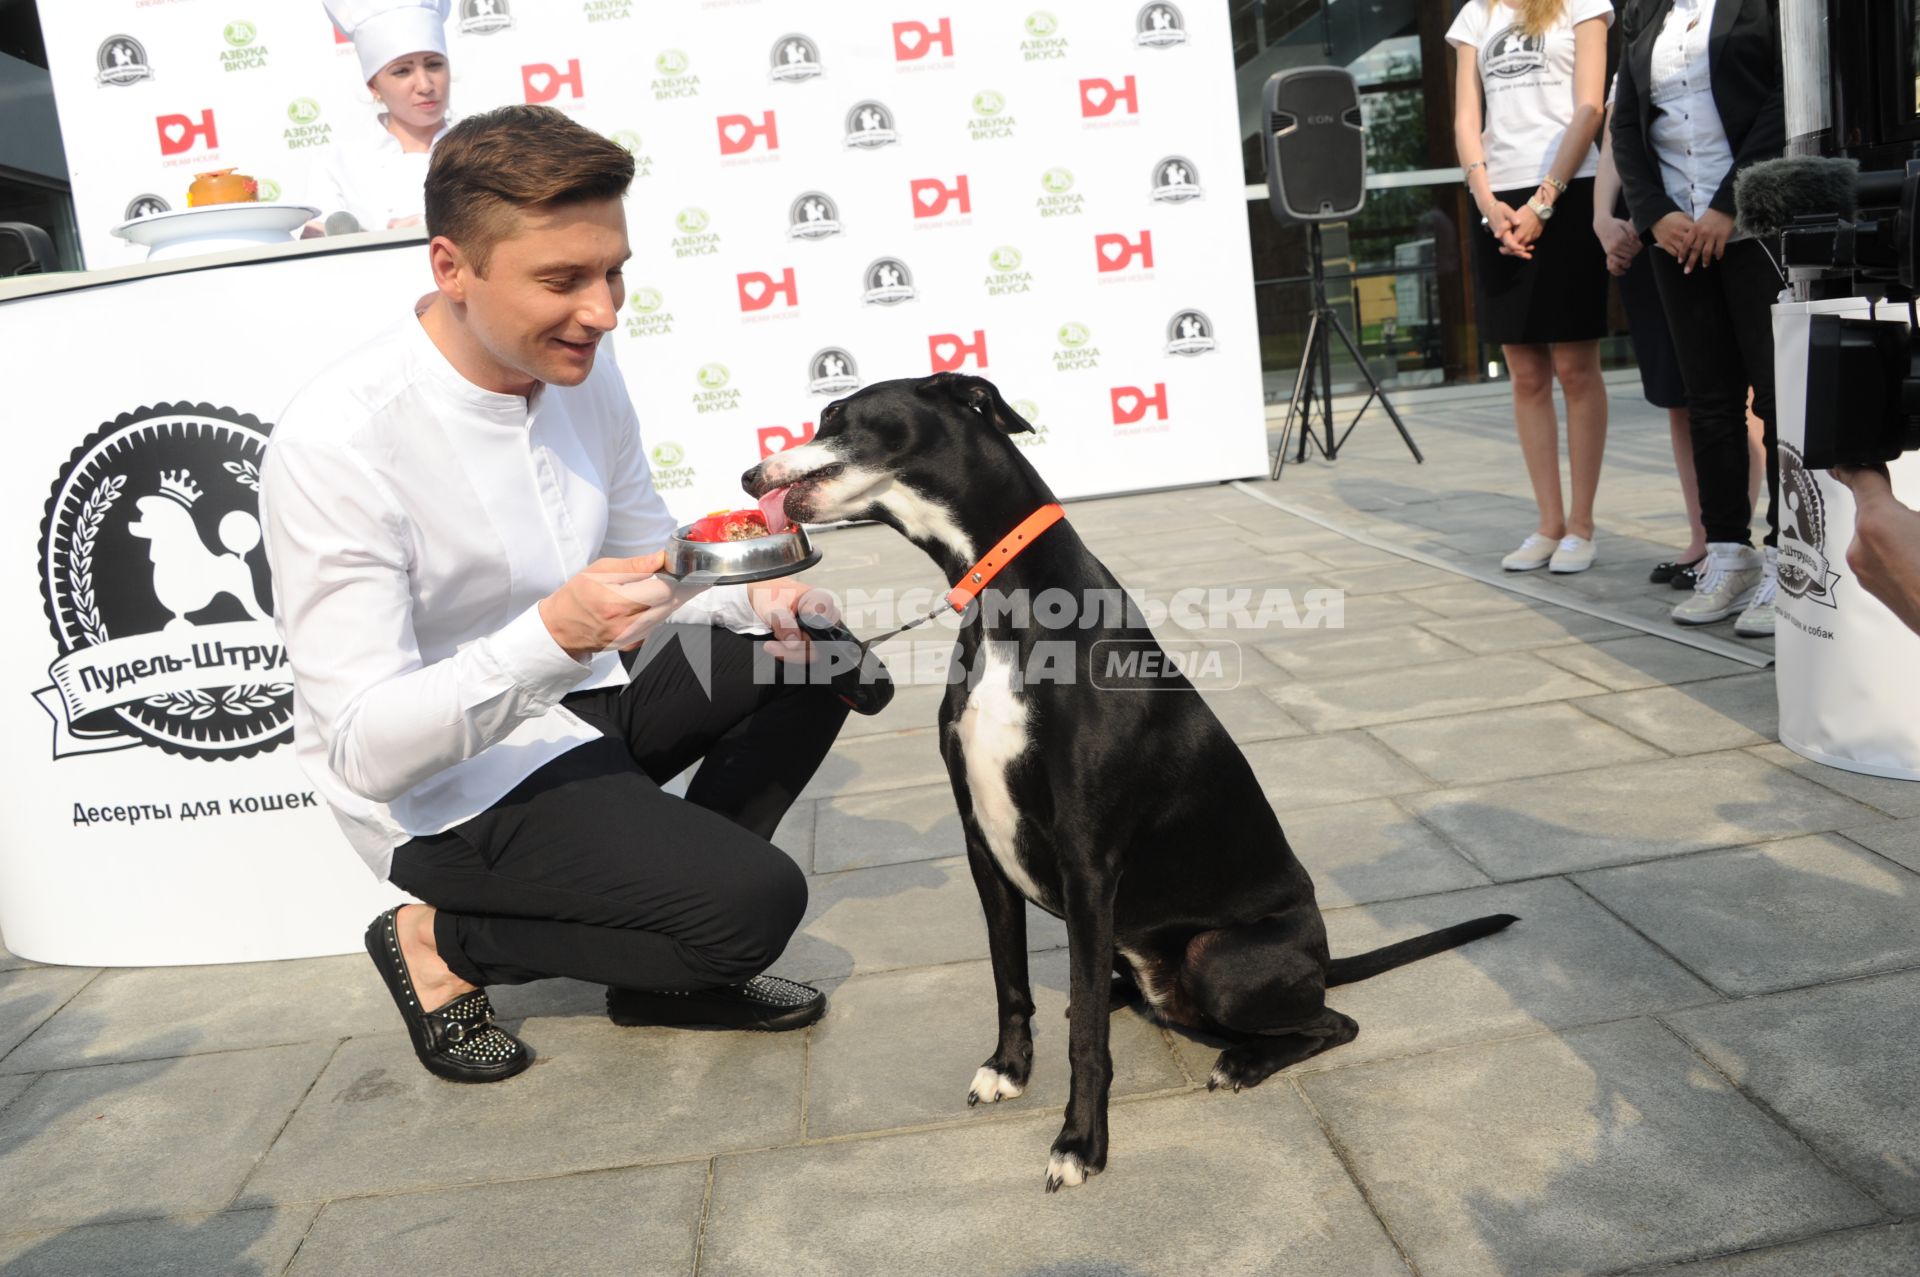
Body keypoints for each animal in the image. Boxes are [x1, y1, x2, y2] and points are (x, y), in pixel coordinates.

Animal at [744, 374, 1512, 1190]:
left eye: (834, 414)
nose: (748, 476)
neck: (1004, 600)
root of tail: (1323, 959)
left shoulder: (1087, 859)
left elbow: (1087, 1043)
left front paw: (1080, 1143)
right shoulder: (983, 845)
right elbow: (1010, 981)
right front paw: (1010, 1069)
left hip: (1219, 960)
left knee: (1335, 1020)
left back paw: (1243, 1060)